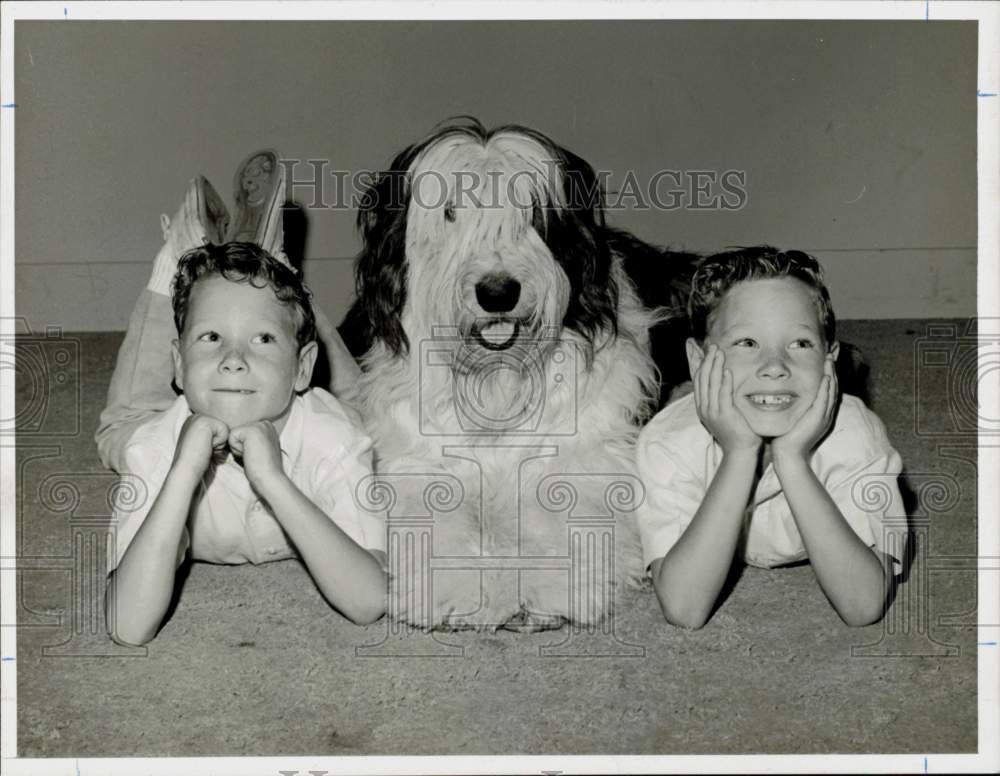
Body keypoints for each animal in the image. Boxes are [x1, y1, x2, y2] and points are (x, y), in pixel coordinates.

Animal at [342, 121, 696, 632]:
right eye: (450, 211)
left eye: (531, 213)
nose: (497, 293)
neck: (497, 383)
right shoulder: (417, 461)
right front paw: (457, 588)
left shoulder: (584, 460)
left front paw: (543, 587)